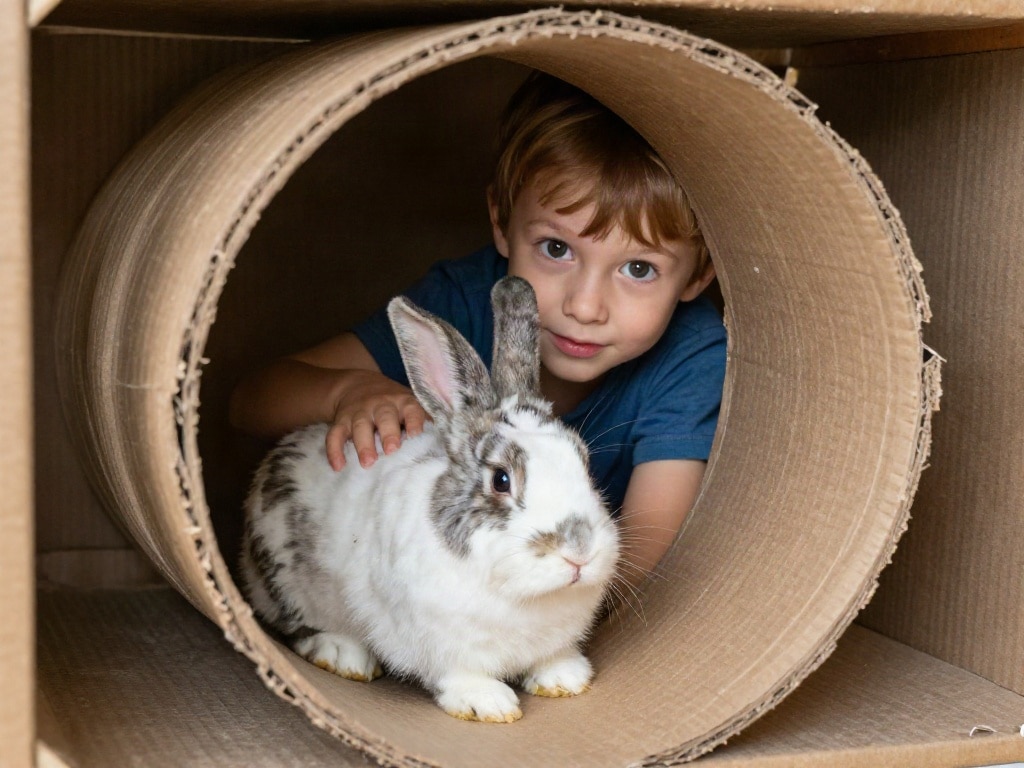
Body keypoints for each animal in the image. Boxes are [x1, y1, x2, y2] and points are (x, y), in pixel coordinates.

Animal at [240, 276, 620, 723]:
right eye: (501, 480)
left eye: (584, 462)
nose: (579, 551)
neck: (521, 595)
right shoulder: (437, 643)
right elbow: (458, 674)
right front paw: (489, 704)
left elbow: (552, 659)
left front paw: (565, 678)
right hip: (288, 585)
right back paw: (343, 655)